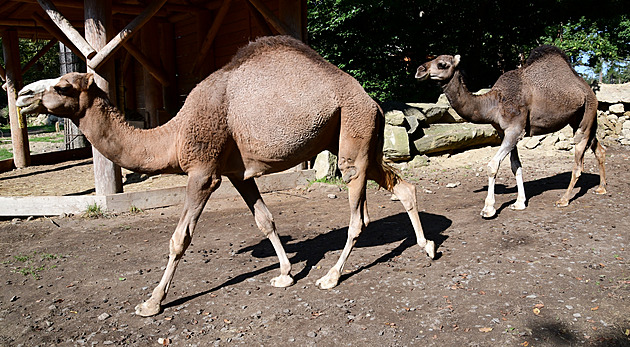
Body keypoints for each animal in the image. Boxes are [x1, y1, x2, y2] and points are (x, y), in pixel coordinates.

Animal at [418, 46, 608, 218]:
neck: (495, 102)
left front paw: (488, 209)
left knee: (578, 162)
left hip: (587, 114)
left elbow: (493, 165)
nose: (420, 70)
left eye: (442, 64)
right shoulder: (505, 132)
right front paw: (519, 203)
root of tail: (587, 88)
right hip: (580, 120)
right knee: (598, 148)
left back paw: (564, 199)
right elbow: (515, 166)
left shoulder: (515, 129)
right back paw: (601, 187)